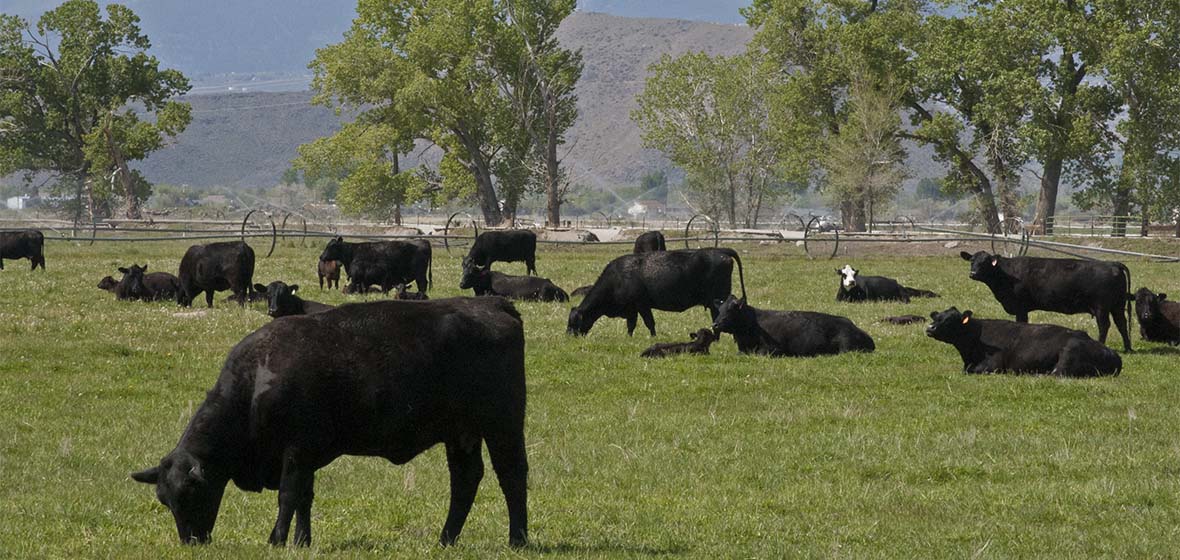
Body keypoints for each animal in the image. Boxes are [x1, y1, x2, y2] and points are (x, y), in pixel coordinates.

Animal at [130, 298, 531, 547]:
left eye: (191, 492)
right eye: (165, 500)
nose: (191, 541)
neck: (257, 376)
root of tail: (492, 304)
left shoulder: (295, 451)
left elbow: (289, 495)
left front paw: (276, 539)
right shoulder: (305, 456)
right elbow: (305, 498)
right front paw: (301, 541)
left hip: (503, 426)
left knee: (512, 476)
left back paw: (518, 539)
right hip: (461, 434)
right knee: (465, 480)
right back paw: (446, 538)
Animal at [564, 249, 745, 337]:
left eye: (573, 323)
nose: (569, 337)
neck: (618, 277)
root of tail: (722, 253)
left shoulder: (642, 305)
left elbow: (649, 323)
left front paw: (653, 337)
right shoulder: (632, 309)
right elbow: (631, 325)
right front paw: (628, 338)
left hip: (718, 301)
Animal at [925, 308, 1118, 379]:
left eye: (950, 319)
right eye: (937, 316)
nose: (930, 328)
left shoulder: (993, 366)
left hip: (1069, 352)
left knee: (1057, 374)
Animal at [958, 251, 1132, 351]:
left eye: (985, 262)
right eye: (972, 261)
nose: (973, 274)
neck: (1005, 274)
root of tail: (1111, 263)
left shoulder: (1021, 307)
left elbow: (1022, 323)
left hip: (1101, 307)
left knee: (1105, 325)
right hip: (1117, 305)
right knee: (1122, 324)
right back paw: (1128, 348)